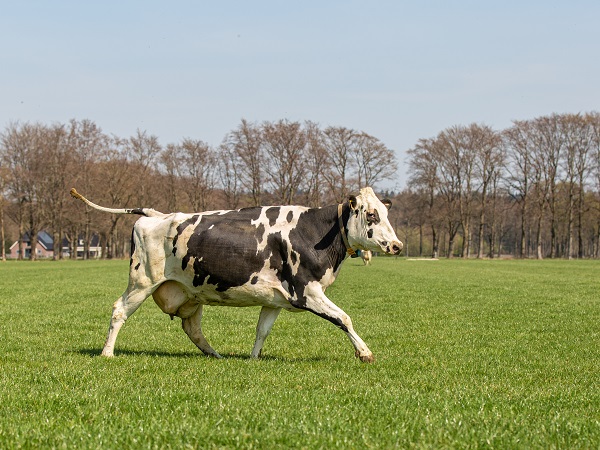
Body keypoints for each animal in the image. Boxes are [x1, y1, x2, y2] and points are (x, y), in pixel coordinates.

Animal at [70, 186, 400, 362]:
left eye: (386, 214)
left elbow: (262, 330)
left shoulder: (275, 299)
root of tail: (157, 215)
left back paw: (215, 355)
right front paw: (365, 353)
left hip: (191, 293)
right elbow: (345, 318)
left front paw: (252, 359)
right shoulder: (307, 291)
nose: (397, 245)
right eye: (371, 215)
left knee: (193, 329)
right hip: (142, 282)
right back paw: (107, 353)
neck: (313, 231)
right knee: (119, 311)